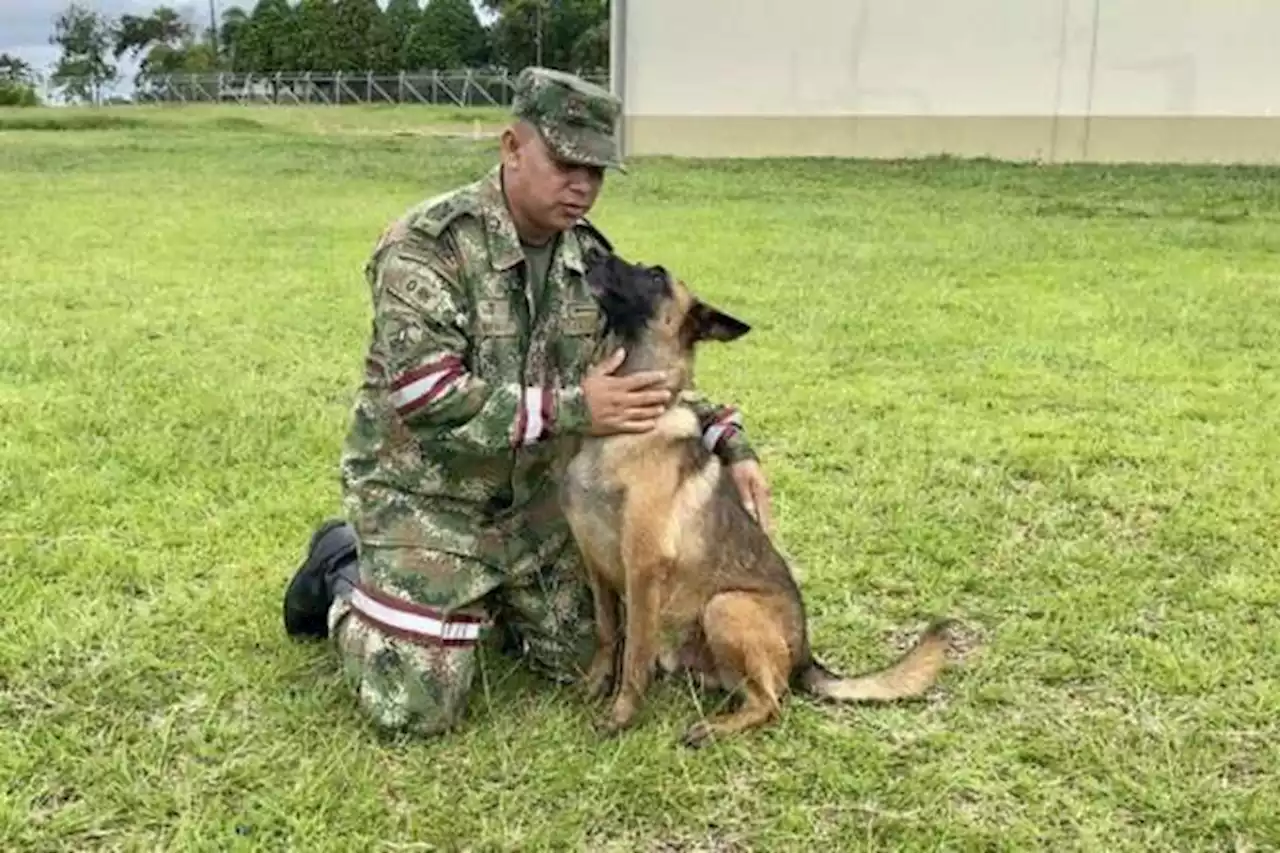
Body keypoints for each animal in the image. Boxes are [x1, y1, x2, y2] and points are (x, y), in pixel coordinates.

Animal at [563, 249, 962, 747]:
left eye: (655, 276)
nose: (592, 252)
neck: (624, 432)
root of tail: (806, 654)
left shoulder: (642, 570)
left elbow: (634, 652)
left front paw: (620, 716)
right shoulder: (596, 565)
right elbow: (607, 633)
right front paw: (592, 686)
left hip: (725, 606)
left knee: (772, 701)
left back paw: (713, 728)